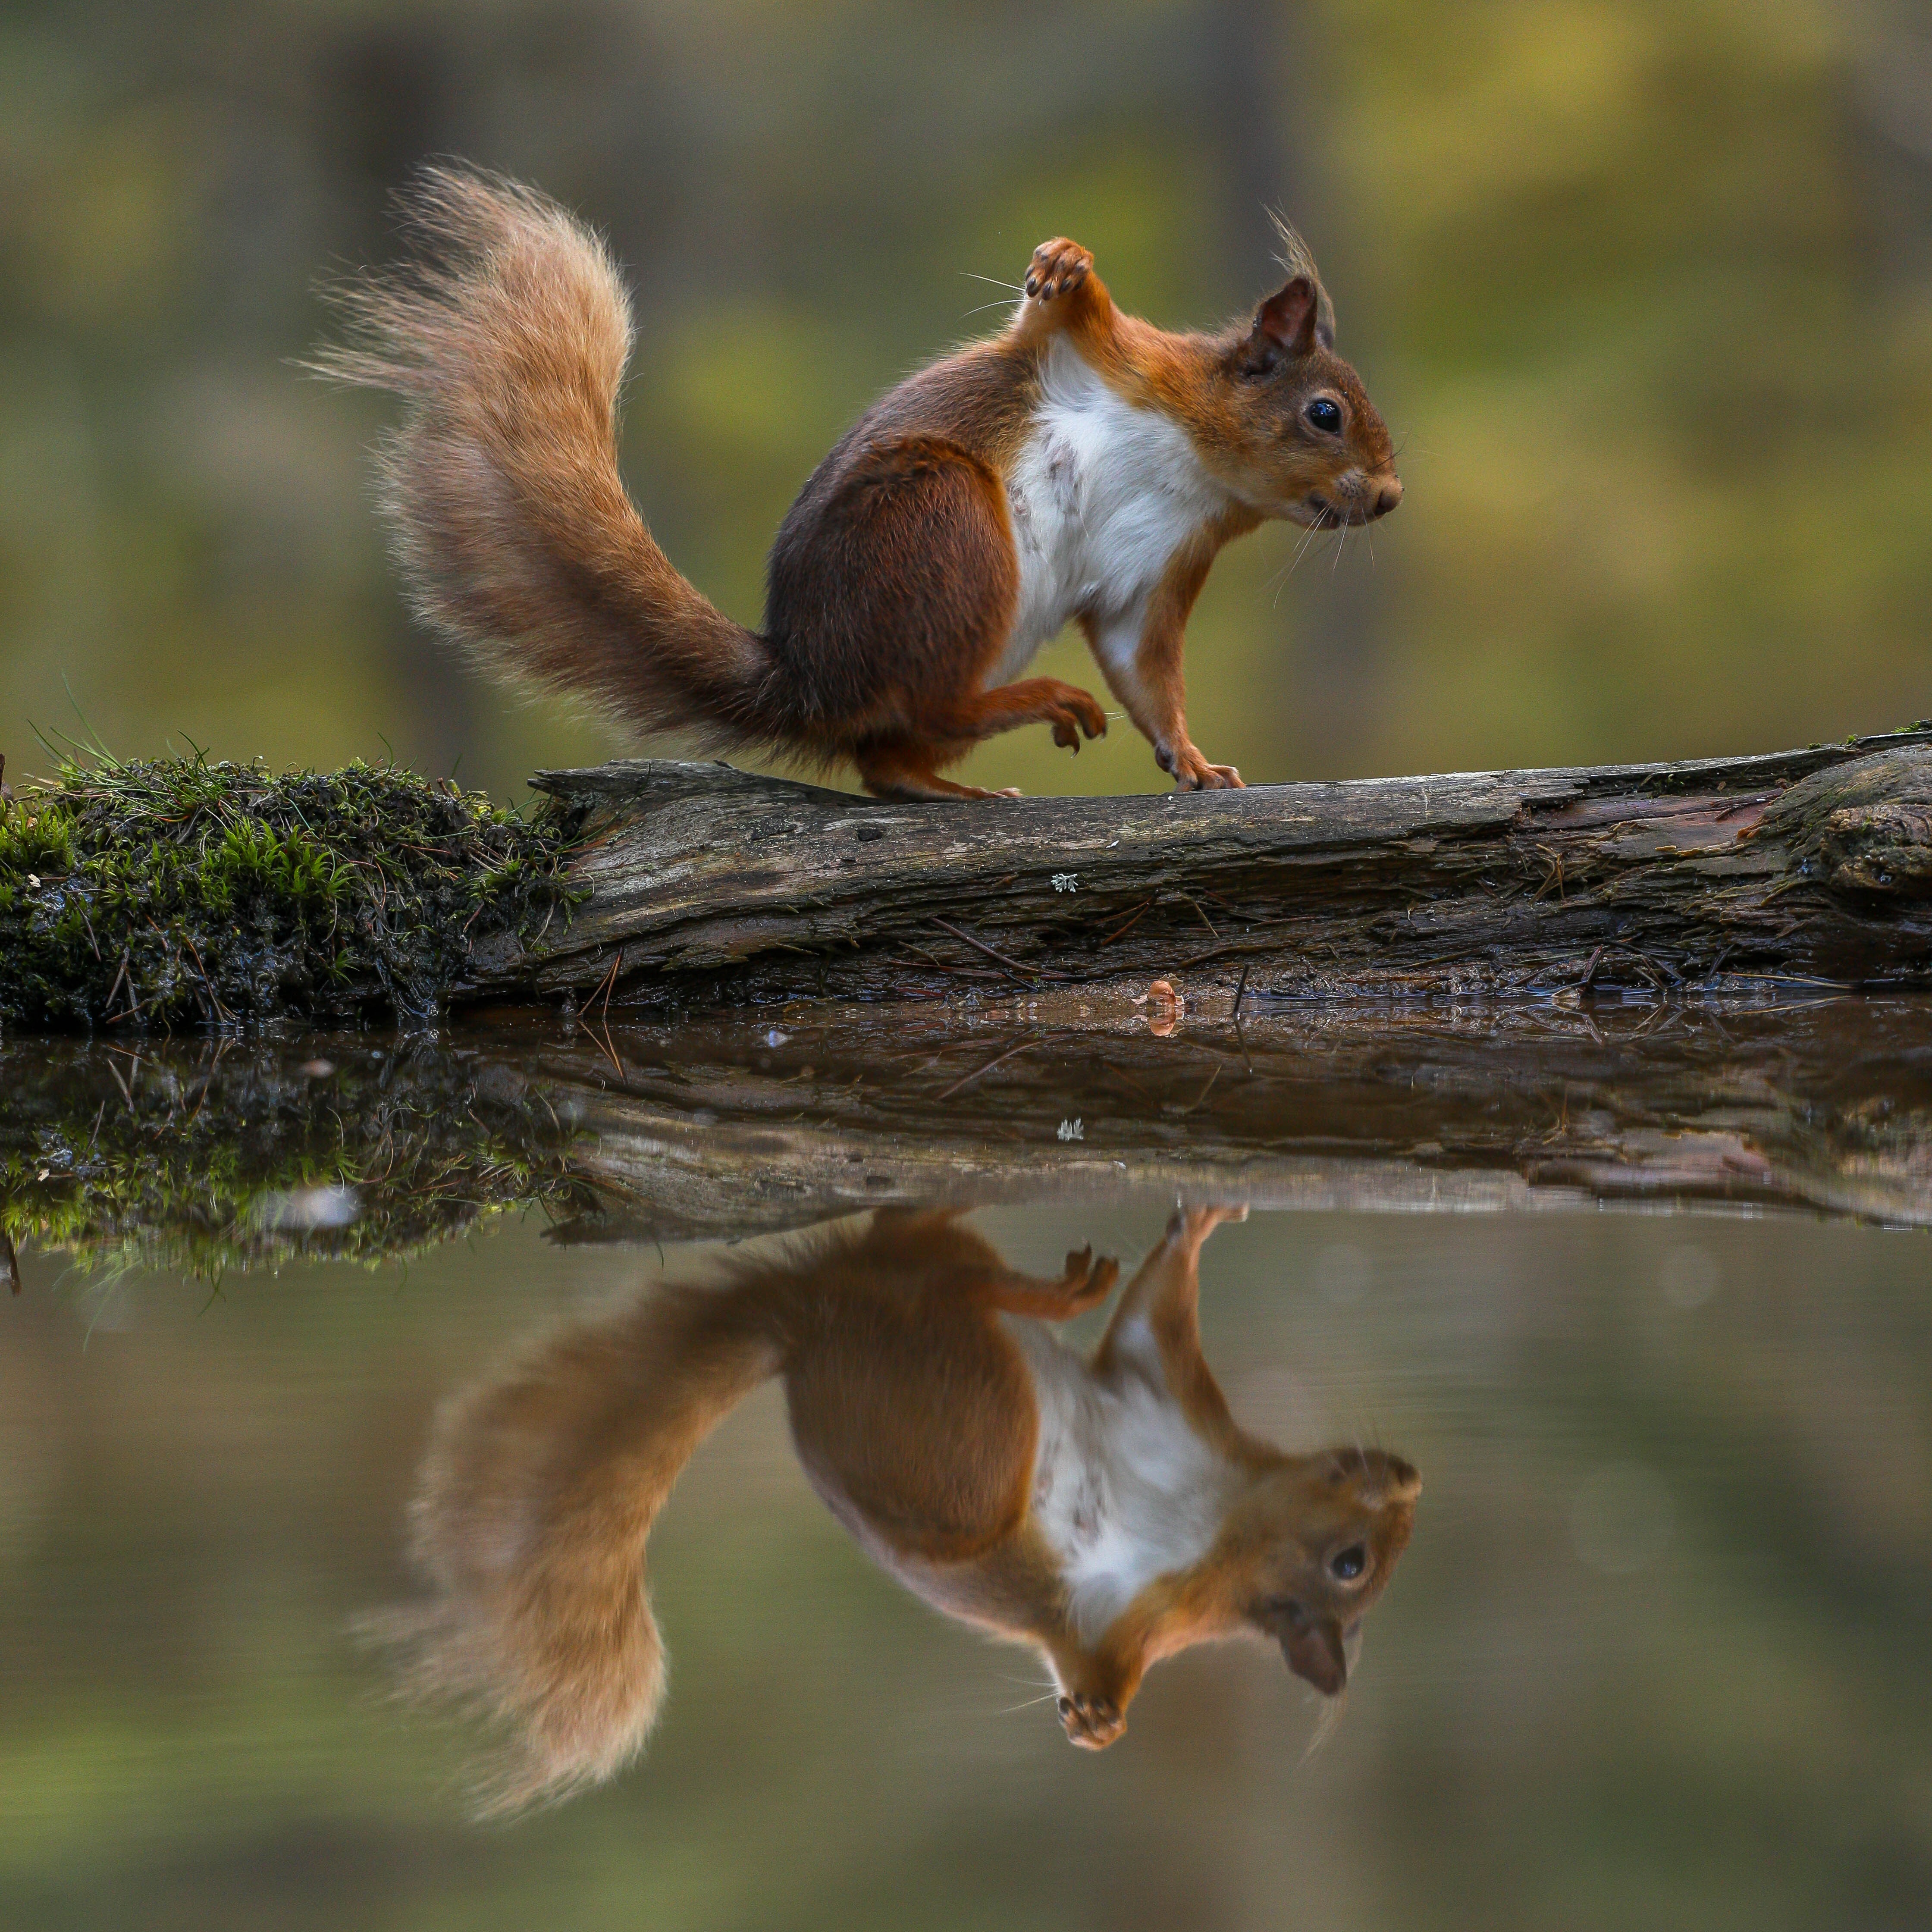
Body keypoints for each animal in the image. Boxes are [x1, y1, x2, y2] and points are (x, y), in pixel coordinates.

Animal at [320, 170, 1406, 796]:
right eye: (1325, 413)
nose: (1390, 497)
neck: (1195, 465)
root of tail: (810, 676)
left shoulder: (1158, 569)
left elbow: (1149, 676)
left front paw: (1193, 762)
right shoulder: (1119, 362)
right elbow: (1063, 316)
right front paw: (1065, 262)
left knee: (889, 758)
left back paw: (958, 782)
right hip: (945, 524)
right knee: (920, 713)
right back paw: (1032, 707)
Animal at [369, 1205, 1422, 1808]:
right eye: (1353, 1564)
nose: (1410, 1477)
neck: (1219, 1520)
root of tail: (802, 1329)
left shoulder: (1146, 1554)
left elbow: (1086, 1653)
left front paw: (1094, 1717)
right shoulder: (1157, 1401)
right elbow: (1155, 1306)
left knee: (907, 1247)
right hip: (973, 1448)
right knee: (934, 1273)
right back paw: (1046, 1287)